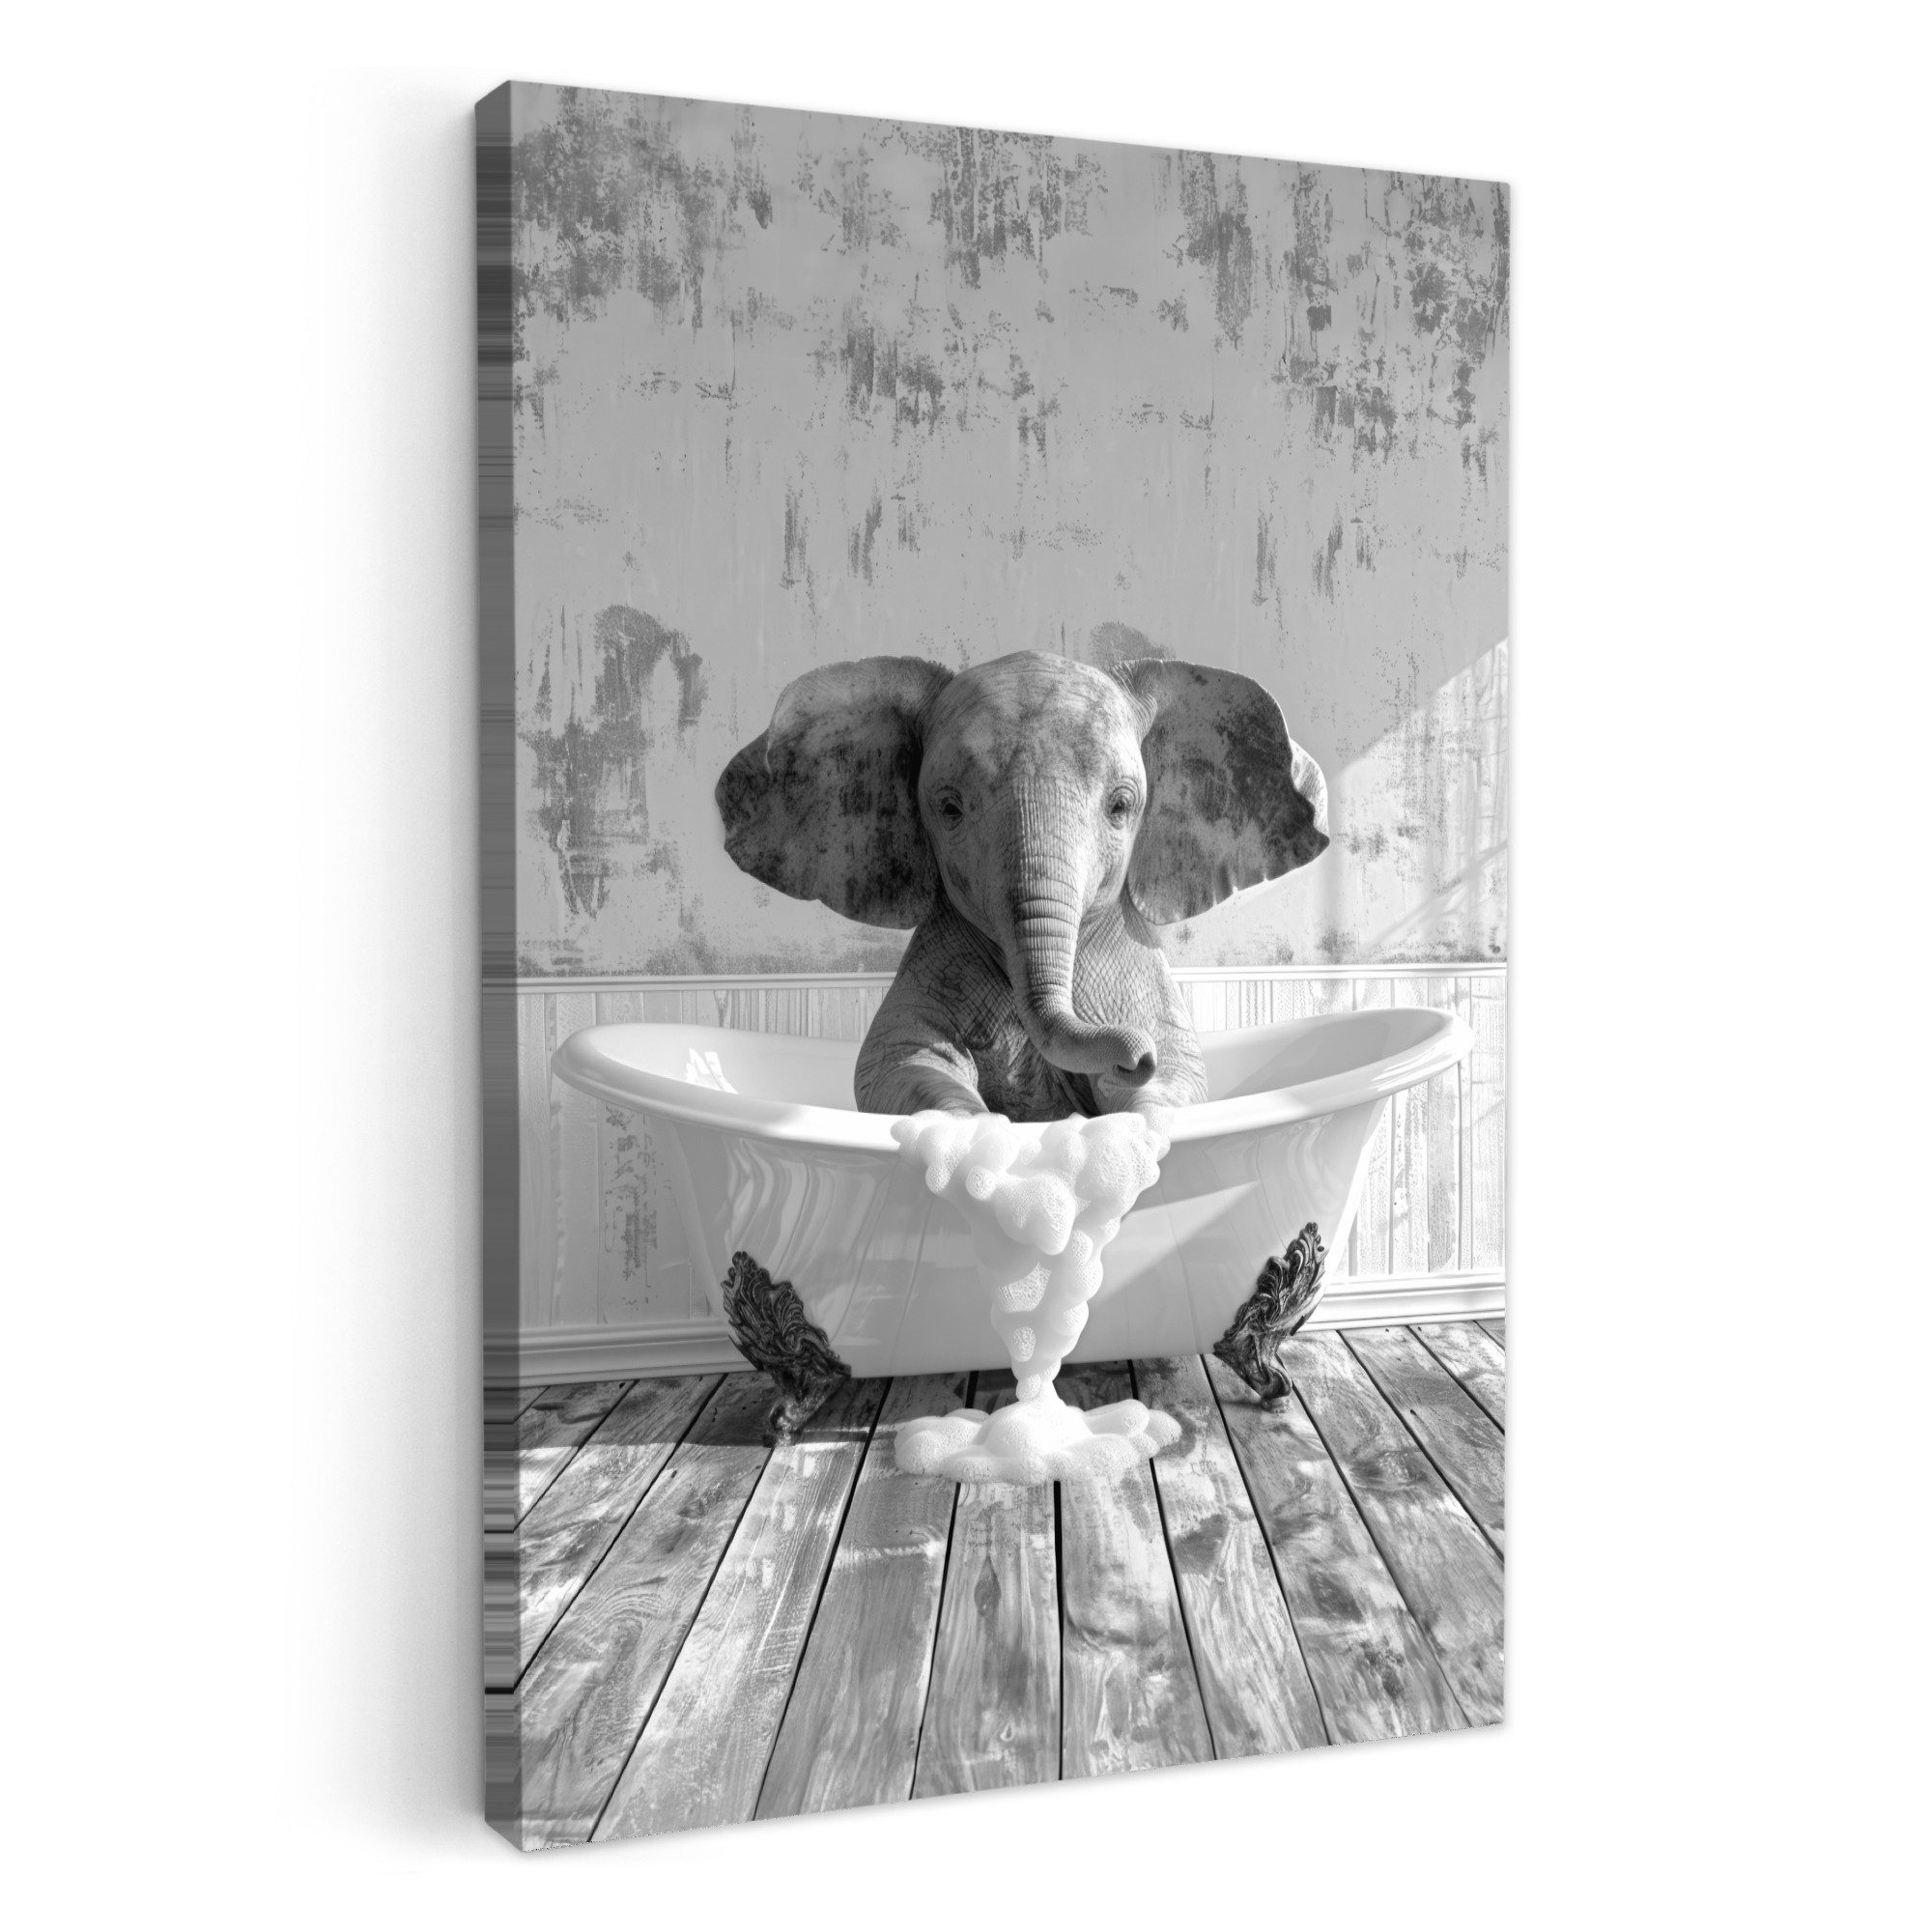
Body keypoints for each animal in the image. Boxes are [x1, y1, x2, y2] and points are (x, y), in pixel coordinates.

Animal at [715, 649, 1329, 1122]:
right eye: (948, 808)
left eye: (1121, 806)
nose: (1136, 1056)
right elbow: (899, 1064)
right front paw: (982, 1131)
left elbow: (1179, 1077)